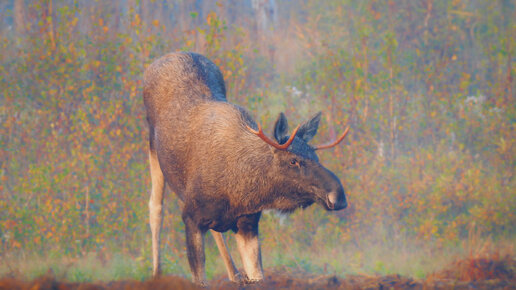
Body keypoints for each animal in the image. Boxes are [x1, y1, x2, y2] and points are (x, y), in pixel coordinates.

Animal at [143, 52, 348, 286]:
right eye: (293, 161)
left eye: (315, 156)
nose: (338, 195)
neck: (242, 191)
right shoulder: (190, 218)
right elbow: (200, 278)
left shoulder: (247, 223)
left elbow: (258, 276)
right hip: (153, 147)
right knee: (155, 207)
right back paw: (157, 274)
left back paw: (235, 275)